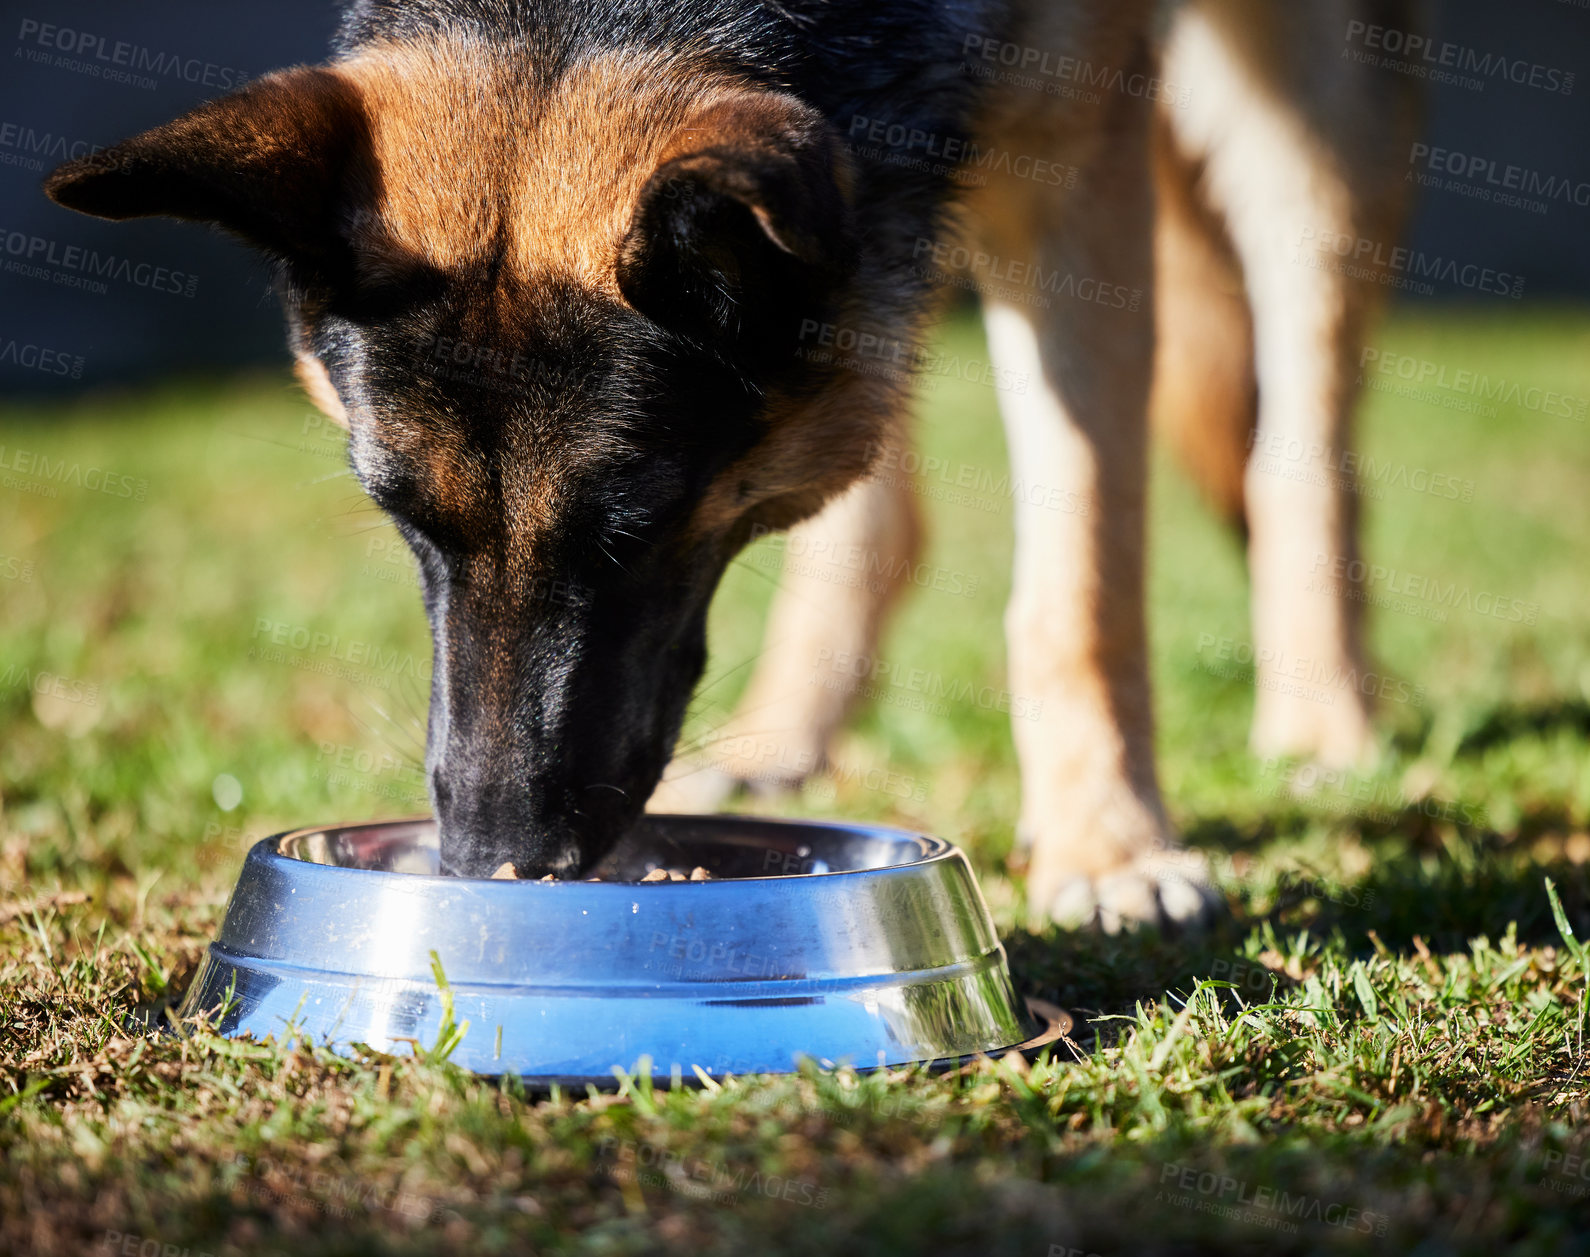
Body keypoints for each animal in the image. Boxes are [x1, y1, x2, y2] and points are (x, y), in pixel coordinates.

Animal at [46, 0, 1418, 921]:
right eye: (405, 520)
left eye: (635, 528)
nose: (493, 863)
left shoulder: (1074, 153)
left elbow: (1081, 576)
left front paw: (1109, 848)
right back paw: (791, 721)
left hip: (1301, 106)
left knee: (1304, 411)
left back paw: (1325, 708)